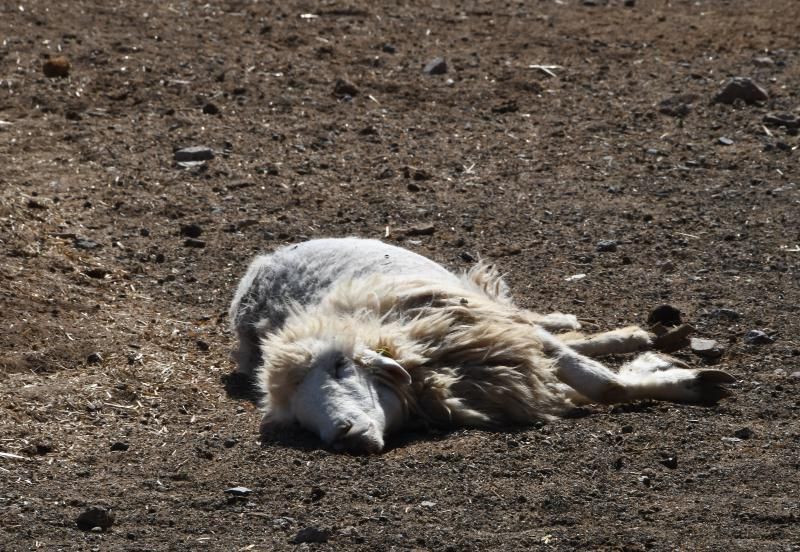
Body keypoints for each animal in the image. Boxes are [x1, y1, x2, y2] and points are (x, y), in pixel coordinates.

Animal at [228, 237, 736, 452]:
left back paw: (640, 334)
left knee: (545, 323)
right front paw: (660, 370)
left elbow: (603, 385)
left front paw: (690, 381)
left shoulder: (501, 331)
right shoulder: (503, 365)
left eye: (339, 367)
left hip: (484, 301)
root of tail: (266, 259)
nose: (343, 435)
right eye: (299, 420)